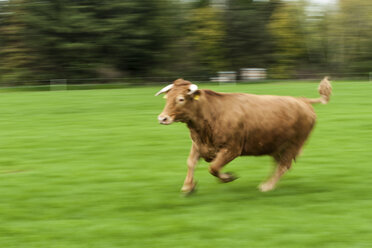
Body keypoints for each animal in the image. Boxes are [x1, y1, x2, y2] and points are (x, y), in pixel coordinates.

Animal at [155, 77, 332, 194]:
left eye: (181, 99)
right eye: (167, 97)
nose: (162, 118)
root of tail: (302, 100)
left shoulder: (232, 148)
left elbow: (214, 167)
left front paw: (228, 177)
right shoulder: (199, 144)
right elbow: (191, 163)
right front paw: (188, 186)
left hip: (293, 144)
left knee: (284, 165)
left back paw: (267, 186)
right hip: (276, 145)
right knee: (278, 164)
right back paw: (268, 183)